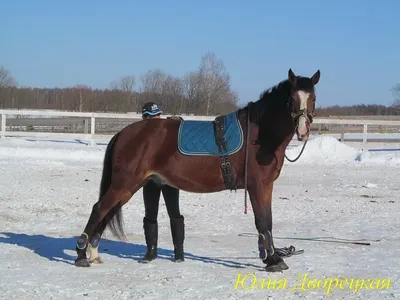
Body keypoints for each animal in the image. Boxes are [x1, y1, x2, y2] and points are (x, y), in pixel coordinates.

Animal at [74, 69, 318, 274]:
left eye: (313, 98)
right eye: (292, 99)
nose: (303, 131)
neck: (259, 136)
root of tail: (123, 133)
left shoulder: (266, 186)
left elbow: (268, 221)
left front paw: (273, 258)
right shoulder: (257, 186)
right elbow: (263, 222)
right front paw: (273, 260)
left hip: (129, 187)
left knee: (107, 212)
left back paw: (93, 252)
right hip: (123, 184)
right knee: (99, 209)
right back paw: (81, 255)